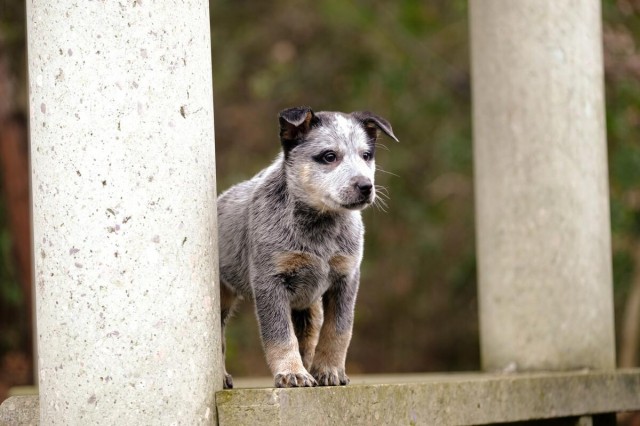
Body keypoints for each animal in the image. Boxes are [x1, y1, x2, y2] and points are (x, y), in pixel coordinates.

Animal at [218, 107, 398, 390]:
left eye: (367, 155)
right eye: (329, 156)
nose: (365, 186)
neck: (320, 231)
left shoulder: (346, 278)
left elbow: (338, 330)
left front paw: (329, 370)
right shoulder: (270, 280)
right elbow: (280, 335)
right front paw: (292, 373)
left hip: (308, 307)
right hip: (222, 296)